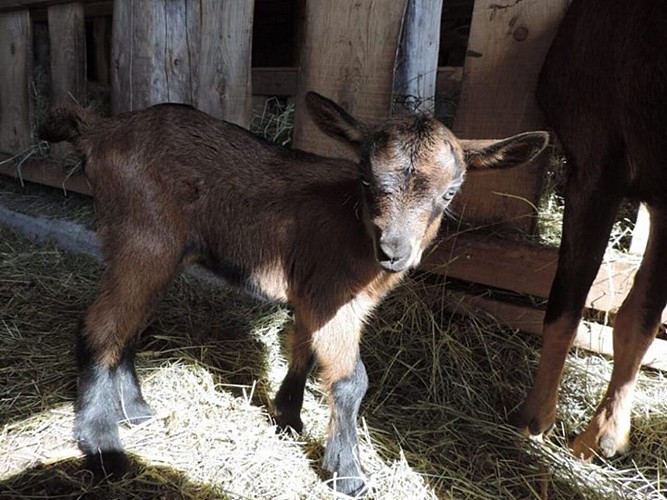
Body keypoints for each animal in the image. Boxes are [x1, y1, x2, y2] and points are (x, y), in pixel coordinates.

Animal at [41, 91, 547, 495]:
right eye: (366, 179)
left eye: (450, 192)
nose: (394, 252)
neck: (352, 226)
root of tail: (101, 129)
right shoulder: (335, 300)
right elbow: (351, 380)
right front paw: (348, 474)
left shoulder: (312, 296)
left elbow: (301, 349)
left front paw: (287, 416)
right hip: (145, 241)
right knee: (101, 326)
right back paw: (103, 447)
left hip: (151, 251)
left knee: (128, 326)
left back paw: (137, 413)